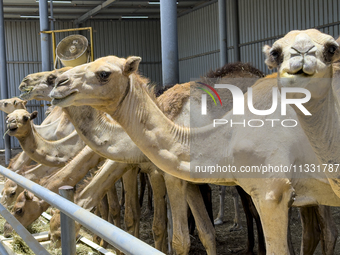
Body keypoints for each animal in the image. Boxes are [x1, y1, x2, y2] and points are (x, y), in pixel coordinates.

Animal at [49, 54, 340, 255]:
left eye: (103, 73)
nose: (57, 82)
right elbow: (204, 231)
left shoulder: (170, 175)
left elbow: (173, 233)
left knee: (326, 231)